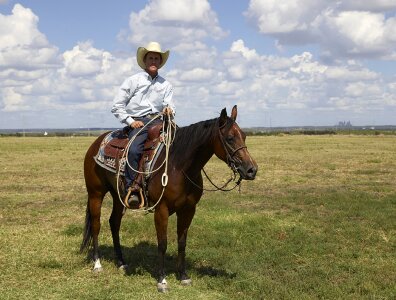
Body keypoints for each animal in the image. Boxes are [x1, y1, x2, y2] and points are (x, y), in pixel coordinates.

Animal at [81, 104, 260, 292]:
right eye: (230, 138)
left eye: (244, 136)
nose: (251, 170)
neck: (179, 166)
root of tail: (97, 142)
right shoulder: (161, 209)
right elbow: (162, 244)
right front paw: (162, 280)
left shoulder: (188, 209)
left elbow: (182, 242)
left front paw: (183, 276)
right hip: (95, 194)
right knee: (96, 225)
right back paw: (97, 264)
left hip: (118, 196)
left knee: (114, 223)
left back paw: (121, 262)